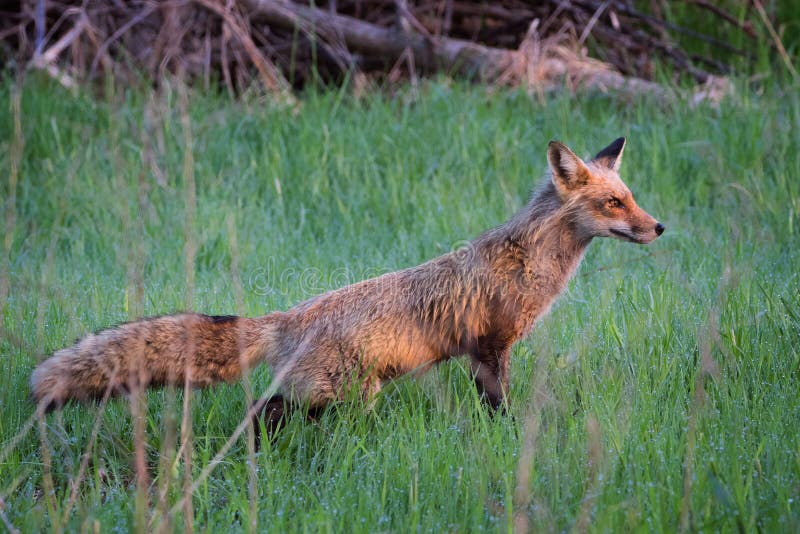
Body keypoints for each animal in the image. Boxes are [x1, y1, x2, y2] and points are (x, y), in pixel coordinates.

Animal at [29, 139, 664, 432]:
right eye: (614, 203)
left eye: (631, 196)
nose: (659, 227)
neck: (529, 262)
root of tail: (288, 317)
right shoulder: (489, 348)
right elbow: (499, 407)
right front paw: (508, 437)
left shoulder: (480, 352)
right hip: (340, 395)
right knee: (267, 409)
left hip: (331, 396)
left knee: (267, 411)